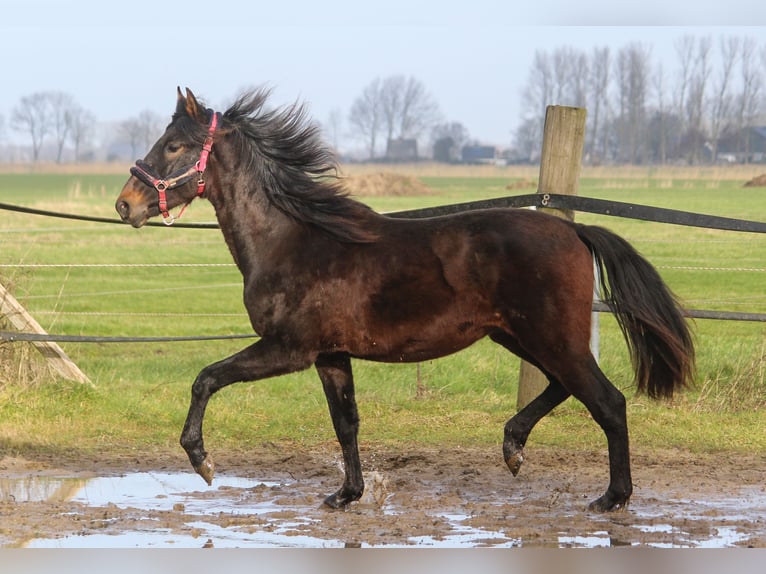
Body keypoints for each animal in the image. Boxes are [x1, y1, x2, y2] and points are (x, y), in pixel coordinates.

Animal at [117, 86, 700, 512]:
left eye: (174, 145)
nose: (125, 204)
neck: (292, 240)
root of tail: (574, 231)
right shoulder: (330, 356)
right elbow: (346, 424)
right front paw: (346, 495)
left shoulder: (288, 349)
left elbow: (206, 378)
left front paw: (202, 461)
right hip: (519, 337)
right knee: (563, 388)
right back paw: (513, 448)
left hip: (550, 337)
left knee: (608, 402)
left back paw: (611, 498)